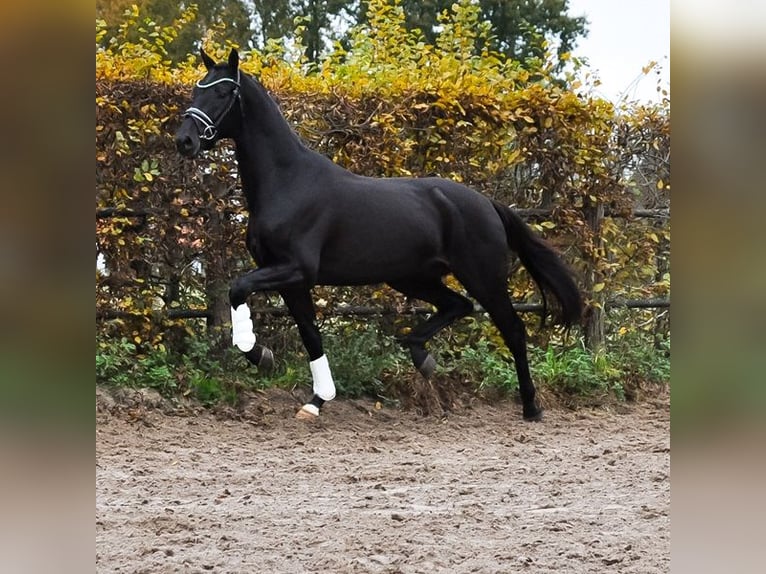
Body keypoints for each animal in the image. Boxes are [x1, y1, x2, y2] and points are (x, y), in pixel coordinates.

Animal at [176, 47, 584, 420]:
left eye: (223, 92)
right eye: (197, 89)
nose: (185, 140)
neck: (289, 182)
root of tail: (487, 202)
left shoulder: (295, 269)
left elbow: (238, 287)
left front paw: (257, 351)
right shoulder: (291, 280)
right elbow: (310, 333)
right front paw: (315, 399)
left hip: (482, 276)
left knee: (512, 329)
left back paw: (531, 407)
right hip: (411, 277)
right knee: (458, 306)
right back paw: (421, 356)